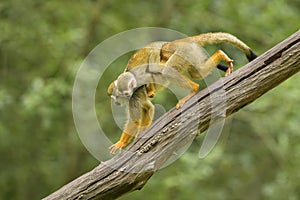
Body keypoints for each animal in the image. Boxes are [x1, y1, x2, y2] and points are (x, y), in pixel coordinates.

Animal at [106, 32, 256, 155]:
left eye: (120, 96)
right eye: (115, 98)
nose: (117, 102)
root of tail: (181, 41)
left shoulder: (134, 96)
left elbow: (134, 121)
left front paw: (121, 143)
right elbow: (149, 107)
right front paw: (141, 134)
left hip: (182, 53)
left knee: (167, 70)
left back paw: (194, 88)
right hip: (190, 55)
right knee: (196, 73)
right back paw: (220, 55)